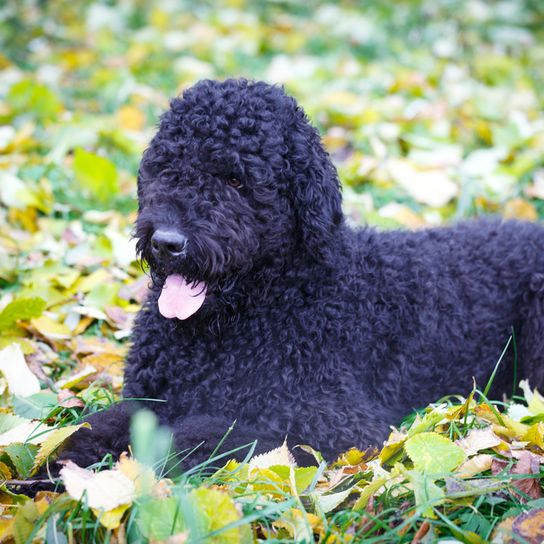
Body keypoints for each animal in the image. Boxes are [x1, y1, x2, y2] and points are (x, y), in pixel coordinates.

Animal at [58, 78, 544, 470]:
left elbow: (207, 436)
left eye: (236, 181)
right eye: (167, 169)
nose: (167, 242)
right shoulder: (150, 397)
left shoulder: (339, 423)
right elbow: (88, 428)